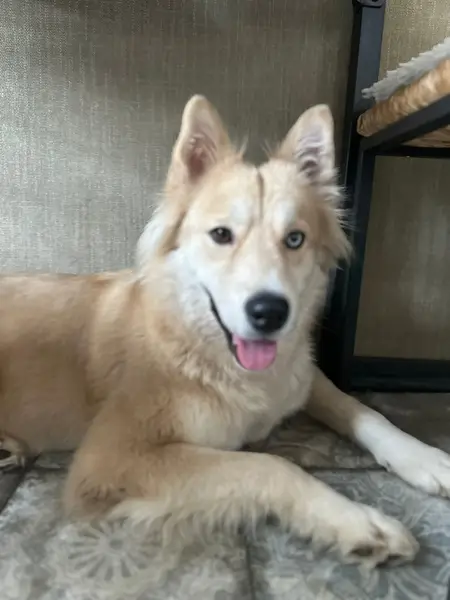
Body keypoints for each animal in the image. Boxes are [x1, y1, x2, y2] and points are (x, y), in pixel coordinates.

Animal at [1, 95, 449, 566]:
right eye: (221, 234)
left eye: (295, 239)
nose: (270, 313)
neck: (202, 348)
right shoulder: (109, 458)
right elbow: (269, 465)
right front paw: (357, 521)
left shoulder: (301, 374)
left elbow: (358, 408)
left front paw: (422, 456)